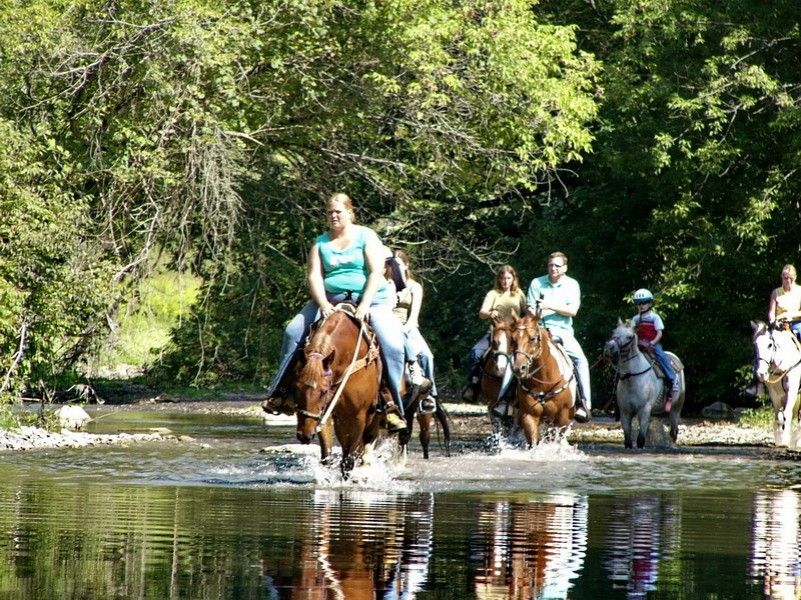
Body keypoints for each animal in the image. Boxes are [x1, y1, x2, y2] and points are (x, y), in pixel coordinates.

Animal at [294, 308, 384, 476]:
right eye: (296, 388)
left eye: (324, 391)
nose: (304, 435)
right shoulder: (325, 414)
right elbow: (326, 457)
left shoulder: (358, 417)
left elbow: (348, 461)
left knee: (367, 441)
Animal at [506, 314, 576, 446]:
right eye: (513, 339)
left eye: (533, 338)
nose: (519, 368)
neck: (545, 382)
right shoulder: (529, 415)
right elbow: (533, 441)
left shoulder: (563, 418)